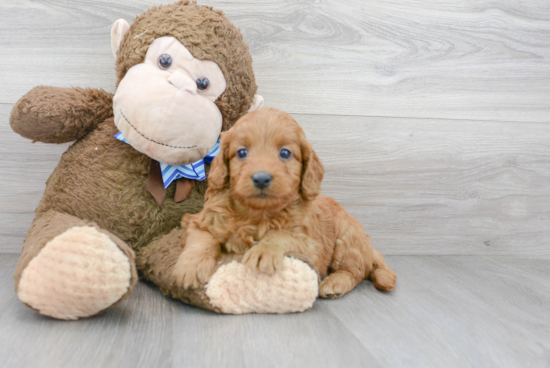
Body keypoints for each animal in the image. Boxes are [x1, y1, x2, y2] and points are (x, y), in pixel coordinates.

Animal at [172, 108, 396, 298]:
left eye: (285, 153)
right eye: (242, 152)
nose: (261, 178)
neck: (258, 213)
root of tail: (368, 245)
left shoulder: (311, 246)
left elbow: (281, 235)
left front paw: (263, 251)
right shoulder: (204, 220)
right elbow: (201, 239)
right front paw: (189, 268)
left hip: (346, 239)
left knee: (355, 270)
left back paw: (335, 284)